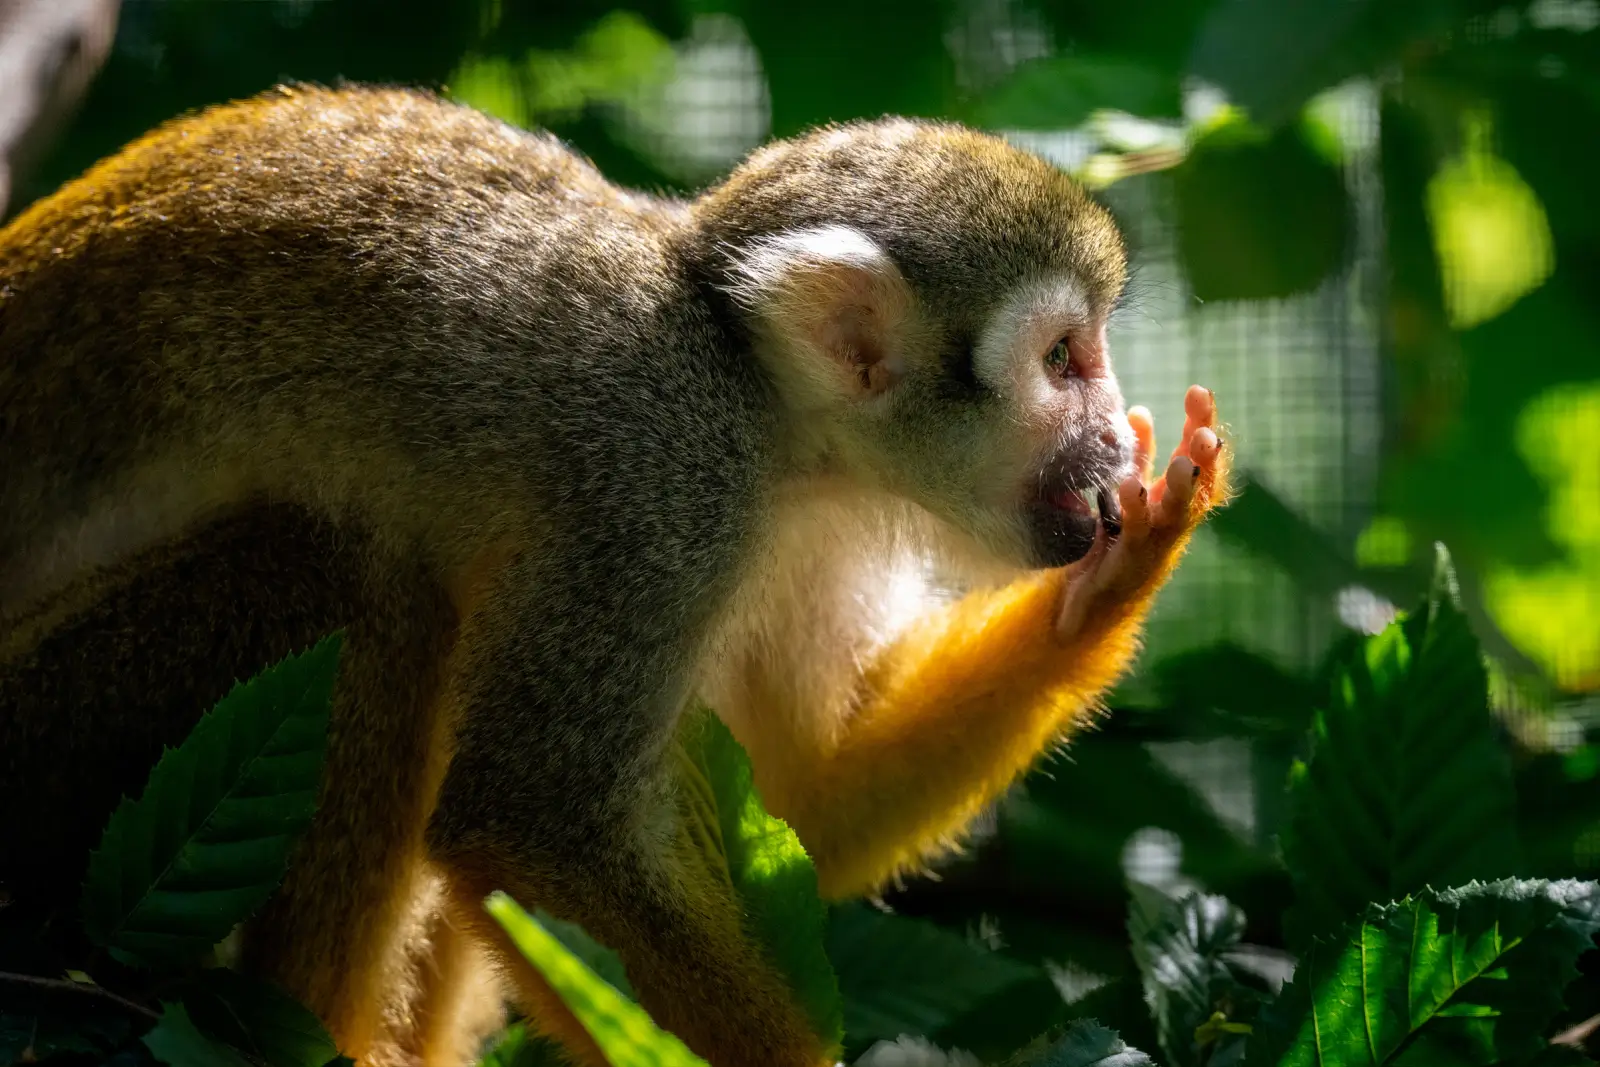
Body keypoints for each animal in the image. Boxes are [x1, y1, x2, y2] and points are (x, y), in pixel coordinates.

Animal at [0, 85, 1228, 1067]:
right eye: (1063, 359)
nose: (1107, 445)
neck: (768, 415)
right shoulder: (659, 480)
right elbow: (526, 818)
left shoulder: (804, 528)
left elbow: (798, 799)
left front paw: (1118, 577)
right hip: (50, 718)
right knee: (370, 588)